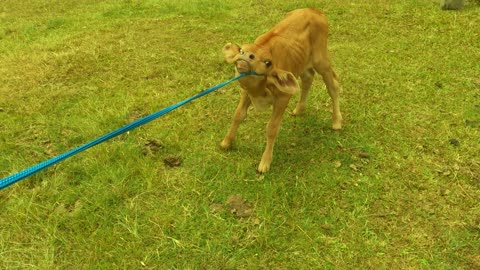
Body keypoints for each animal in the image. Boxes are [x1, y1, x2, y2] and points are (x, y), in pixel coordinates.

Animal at [221, 8, 342, 173]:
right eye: (241, 50)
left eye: (267, 62)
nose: (246, 55)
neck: (259, 91)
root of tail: (313, 10)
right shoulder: (247, 92)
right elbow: (238, 115)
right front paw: (226, 142)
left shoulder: (283, 97)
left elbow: (272, 128)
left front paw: (265, 163)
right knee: (308, 78)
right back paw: (299, 109)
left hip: (321, 60)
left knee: (333, 86)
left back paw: (337, 121)